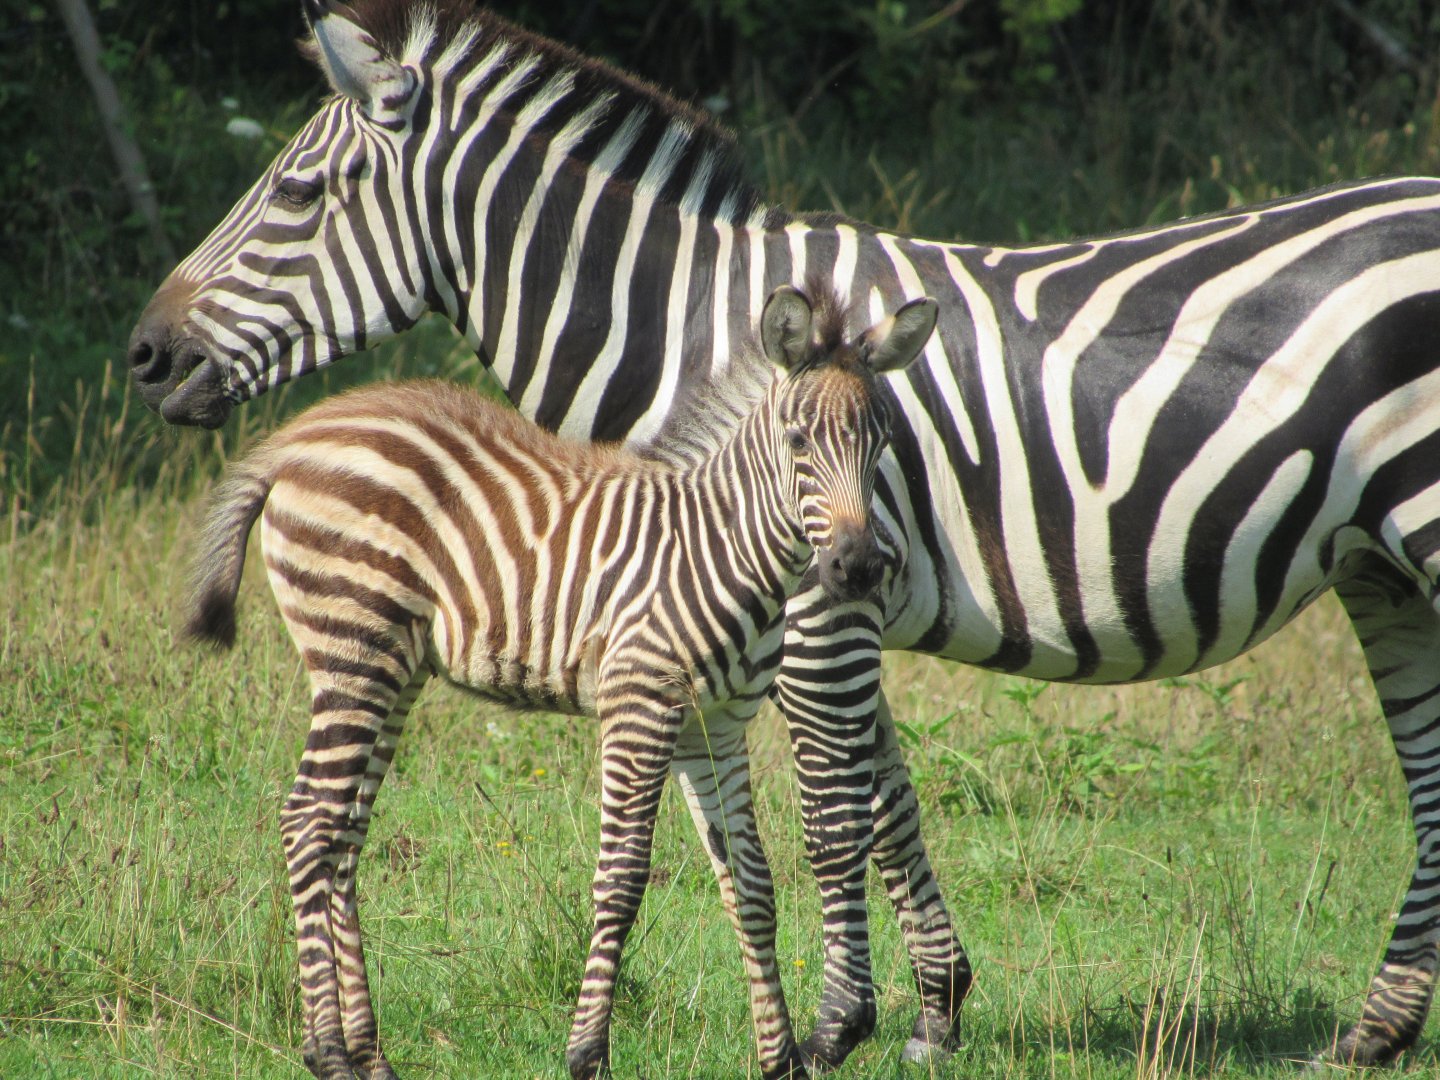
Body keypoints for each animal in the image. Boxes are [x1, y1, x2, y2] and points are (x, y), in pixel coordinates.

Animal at [182, 283, 935, 1080]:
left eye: (882, 443)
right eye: (798, 443)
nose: (858, 567)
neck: (723, 547)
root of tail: (297, 436)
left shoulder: (715, 727)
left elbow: (751, 884)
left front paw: (781, 1056)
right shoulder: (641, 704)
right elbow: (623, 879)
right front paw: (587, 1052)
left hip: (392, 669)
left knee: (344, 836)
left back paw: (368, 1055)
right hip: (352, 648)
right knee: (308, 823)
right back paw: (326, 1050)